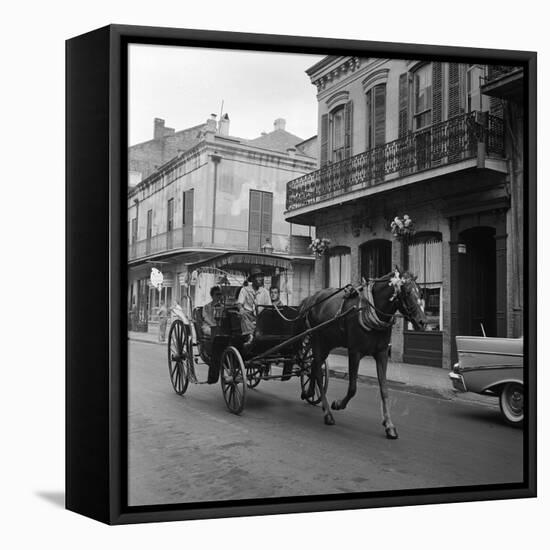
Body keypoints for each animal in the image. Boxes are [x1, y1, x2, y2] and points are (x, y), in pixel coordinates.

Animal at [300, 270, 430, 442]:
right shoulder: (354, 352)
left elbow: (384, 389)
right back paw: (327, 413)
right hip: (318, 341)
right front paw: (338, 404)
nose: (422, 322)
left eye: (420, 292)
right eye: (407, 292)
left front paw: (389, 425)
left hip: (327, 343)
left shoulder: (382, 353)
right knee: (317, 371)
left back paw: (310, 394)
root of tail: (312, 299)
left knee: (314, 367)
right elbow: (352, 388)